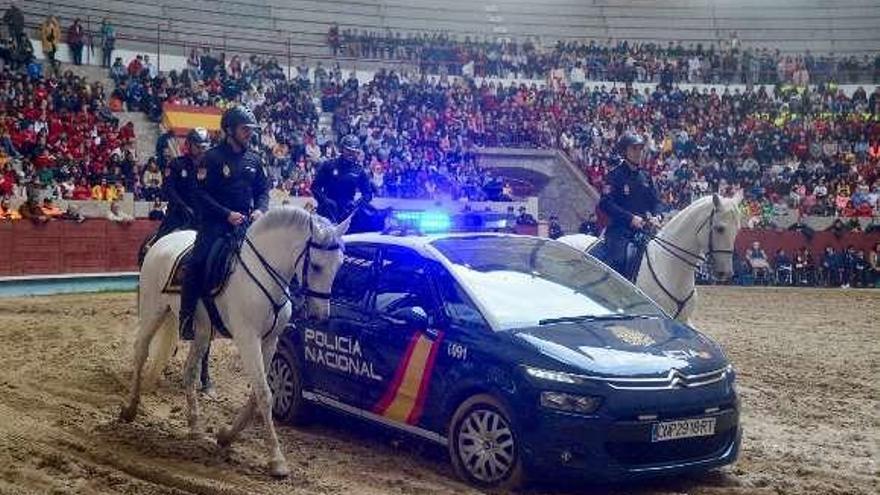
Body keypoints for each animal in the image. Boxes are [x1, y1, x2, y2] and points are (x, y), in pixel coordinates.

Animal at [119, 205, 350, 476]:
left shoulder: (270, 341)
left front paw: (227, 435)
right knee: (141, 352)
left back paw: (195, 426)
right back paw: (130, 409)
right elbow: (264, 393)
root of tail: (162, 241)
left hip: (201, 332)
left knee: (190, 370)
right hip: (153, 311)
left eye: (339, 264)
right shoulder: (247, 338)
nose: (319, 316)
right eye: (315, 266)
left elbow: (259, 392)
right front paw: (276, 459)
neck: (264, 274)